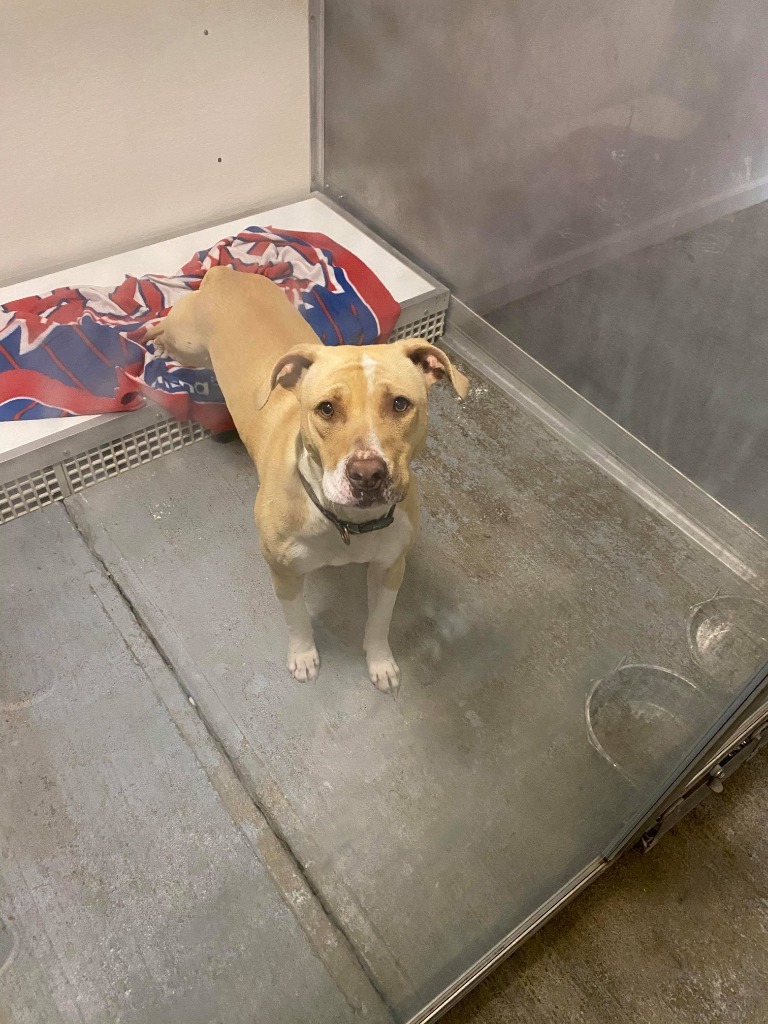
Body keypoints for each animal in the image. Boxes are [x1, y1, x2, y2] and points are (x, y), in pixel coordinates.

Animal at [146, 266, 468, 692]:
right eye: (326, 409)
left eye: (400, 404)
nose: (367, 475)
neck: (346, 523)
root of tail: (224, 271)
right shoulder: (282, 571)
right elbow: (296, 620)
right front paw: (303, 657)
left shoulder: (390, 568)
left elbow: (380, 622)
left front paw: (380, 662)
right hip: (187, 344)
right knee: (166, 332)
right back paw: (147, 336)